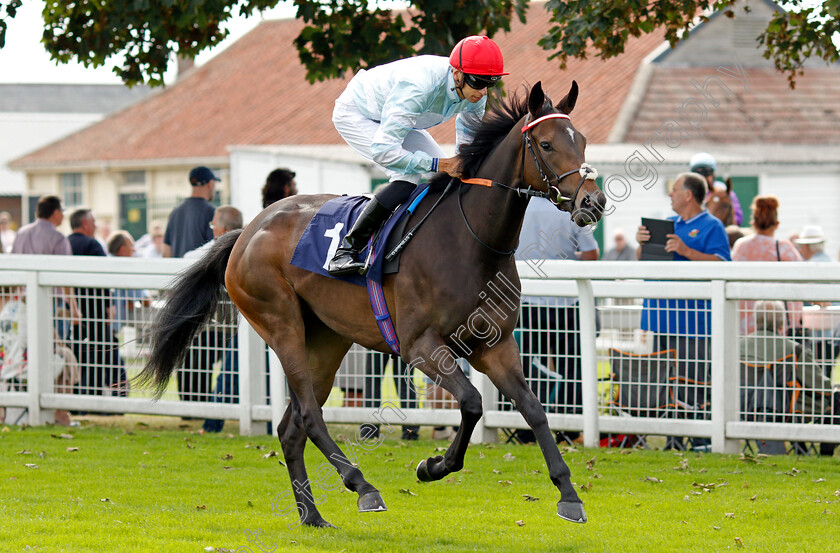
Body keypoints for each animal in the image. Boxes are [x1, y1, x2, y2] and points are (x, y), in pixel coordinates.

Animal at [141, 81, 608, 528]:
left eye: (582, 140)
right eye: (546, 144)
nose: (593, 202)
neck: (470, 240)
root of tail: (248, 230)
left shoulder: (496, 344)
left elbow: (534, 409)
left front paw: (569, 495)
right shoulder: (421, 347)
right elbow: (473, 402)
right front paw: (432, 466)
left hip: (327, 340)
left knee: (291, 427)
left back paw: (312, 516)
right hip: (280, 323)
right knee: (309, 415)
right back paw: (362, 486)